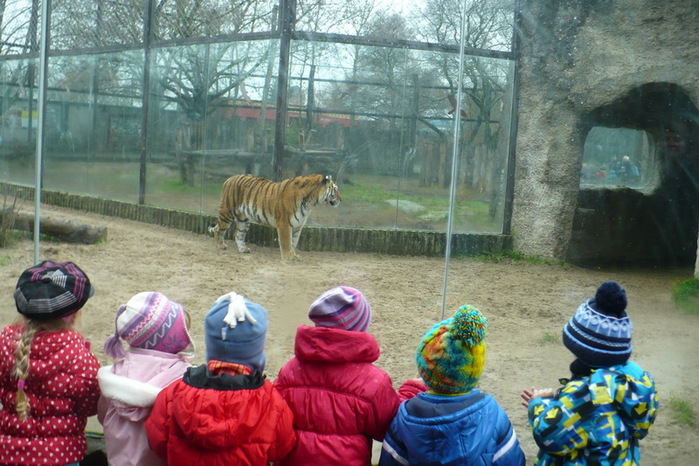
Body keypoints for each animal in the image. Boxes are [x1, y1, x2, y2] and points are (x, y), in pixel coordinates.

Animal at [208, 173, 342, 260]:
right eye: (335, 189)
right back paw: (220, 245)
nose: (341, 199)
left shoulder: (298, 225)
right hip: (227, 212)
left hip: (243, 219)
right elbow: (286, 241)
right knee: (218, 229)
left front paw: (294, 255)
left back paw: (243, 249)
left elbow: (294, 242)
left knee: (238, 235)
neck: (310, 202)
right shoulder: (284, 223)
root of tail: (229, 179)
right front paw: (288, 257)